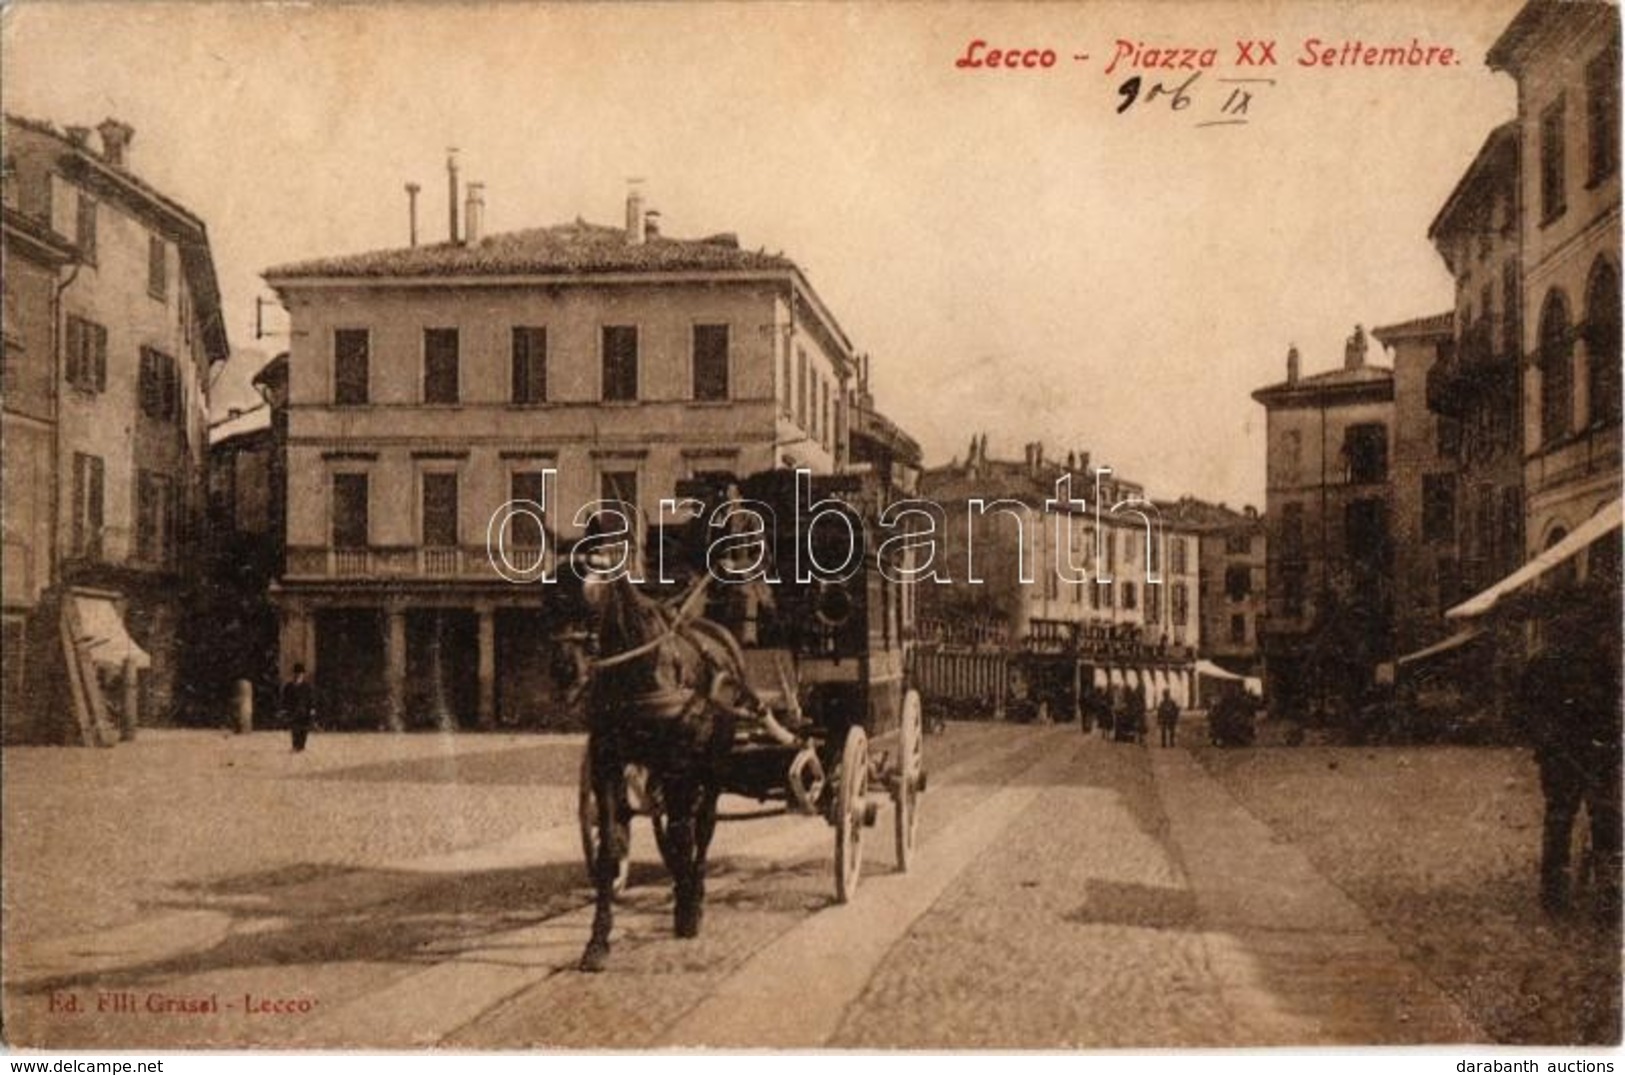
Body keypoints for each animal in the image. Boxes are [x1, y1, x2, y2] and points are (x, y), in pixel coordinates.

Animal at [568, 568, 757, 974]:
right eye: (547, 597)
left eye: (591, 597)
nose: (565, 670)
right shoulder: (606, 763)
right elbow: (609, 850)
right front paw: (597, 941)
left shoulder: (678, 764)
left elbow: (684, 834)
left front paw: (687, 911)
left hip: (711, 765)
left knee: (703, 827)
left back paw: (694, 890)